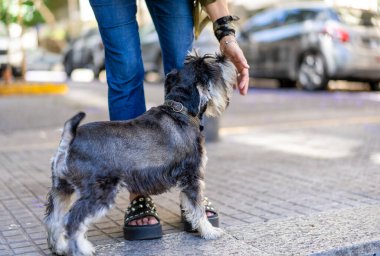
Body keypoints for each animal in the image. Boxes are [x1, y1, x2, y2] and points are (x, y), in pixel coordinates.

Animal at [44, 52, 238, 256]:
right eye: (209, 67)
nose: (224, 57)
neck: (181, 110)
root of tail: (68, 141)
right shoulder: (192, 177)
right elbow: (197, 208)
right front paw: (209, 231)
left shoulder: (187, 180)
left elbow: (189, 206)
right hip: (99, 192)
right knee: (73, 220)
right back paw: (82, 249)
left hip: (62, 188)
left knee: (53, 219)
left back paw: (60, 247)